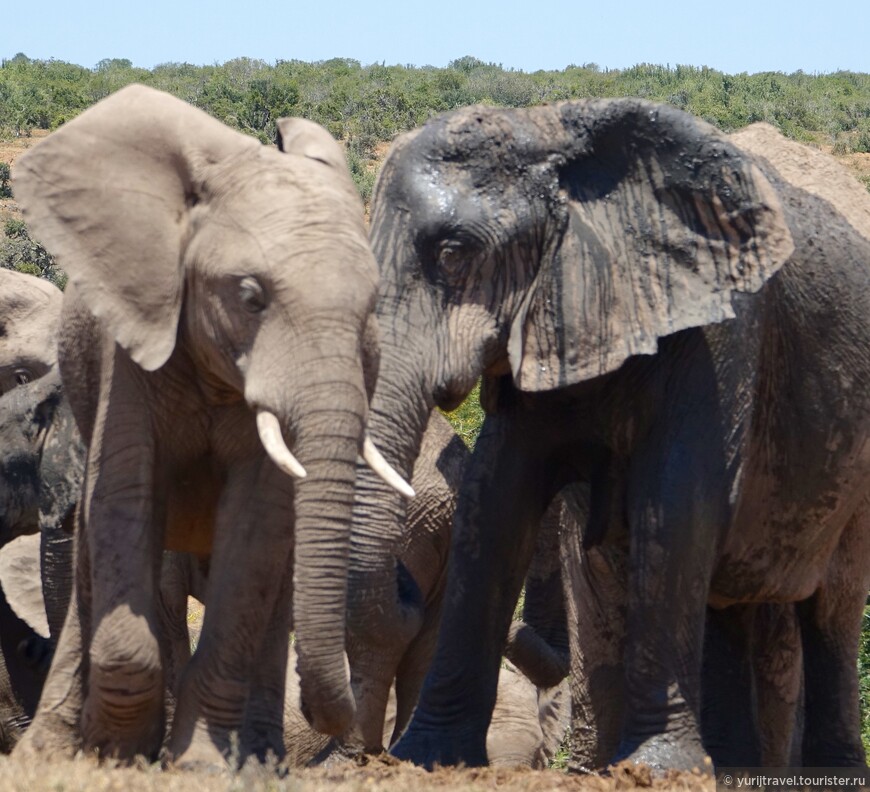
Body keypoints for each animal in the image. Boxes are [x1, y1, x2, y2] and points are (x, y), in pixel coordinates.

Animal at [9, 82, 412, 768]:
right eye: (250, 297)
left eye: (370, 314)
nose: (332, 720)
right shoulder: (130, 348)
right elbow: (126, 498)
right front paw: (116, 755)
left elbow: (255, 527)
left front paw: (198, 762)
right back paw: (59, 748)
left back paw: (258, 761)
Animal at [340, 100, 870, 772]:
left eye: (455, 254)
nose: (406, 583)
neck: (552, 135)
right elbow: (495, 502)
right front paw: (430, 758)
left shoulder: (719, 329)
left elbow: (675, 508)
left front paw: (655, 768)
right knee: (727, 594)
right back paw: (729, 767)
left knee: (831, 607)